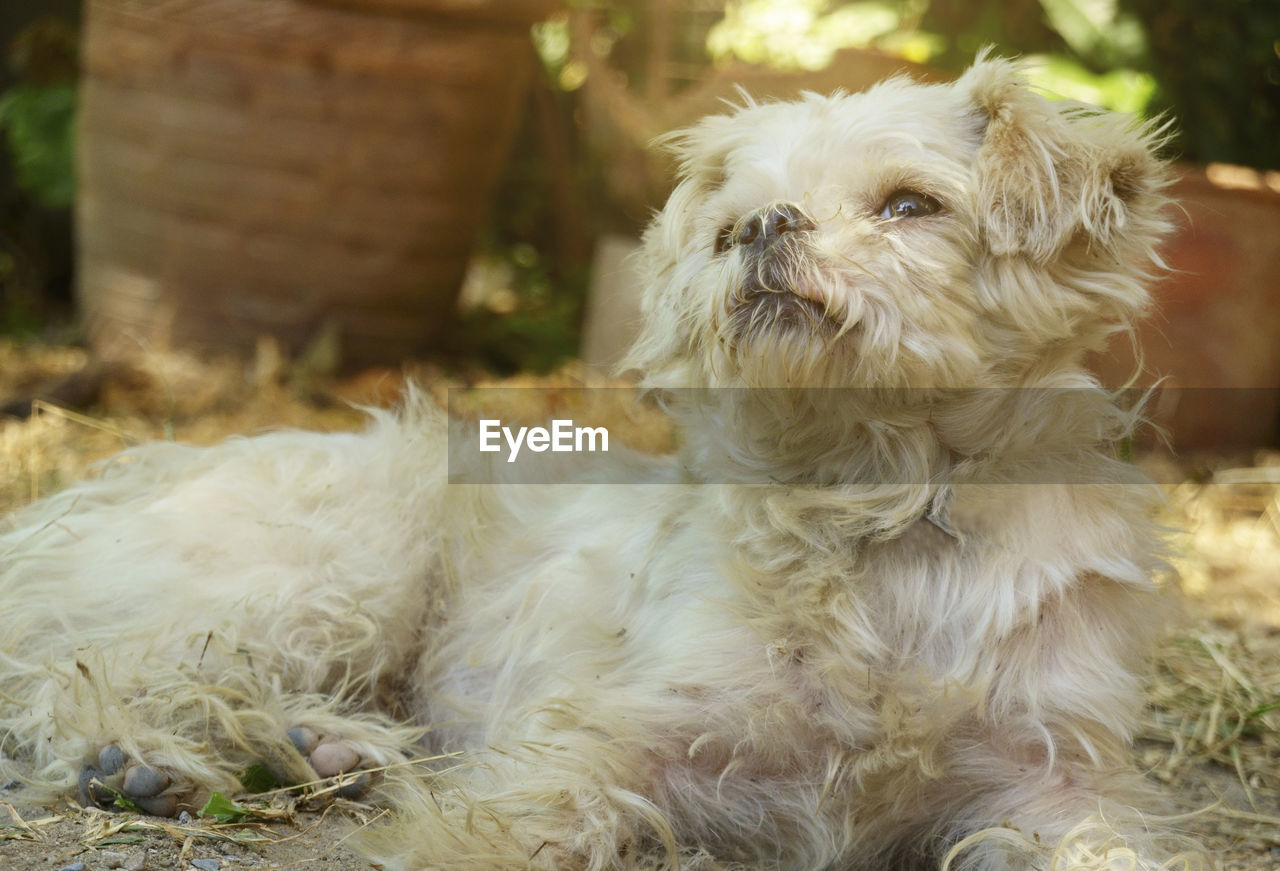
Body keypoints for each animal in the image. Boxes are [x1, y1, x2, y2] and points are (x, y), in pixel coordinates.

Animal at [2, 57, 1198, 865]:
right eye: (724, 224)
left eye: (912, 204)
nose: (761, 225)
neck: (881, 509)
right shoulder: (606, 732)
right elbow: (516, 820)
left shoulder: (1051, 783)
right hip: (340, 570)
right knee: (86, 668)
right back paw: (139, 758)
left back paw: (317, 747)